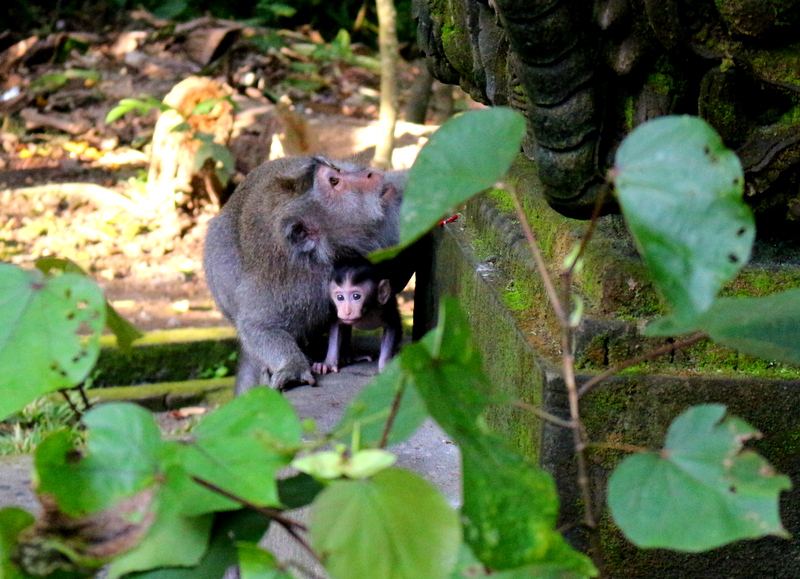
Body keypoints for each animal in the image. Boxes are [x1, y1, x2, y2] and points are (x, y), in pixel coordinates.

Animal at [203, 154, 404, 394]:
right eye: (334, 182)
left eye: (337, 171)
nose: (368, 173)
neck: (330, 252)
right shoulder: (291, 284)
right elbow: (258, 326)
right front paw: (292, 367)